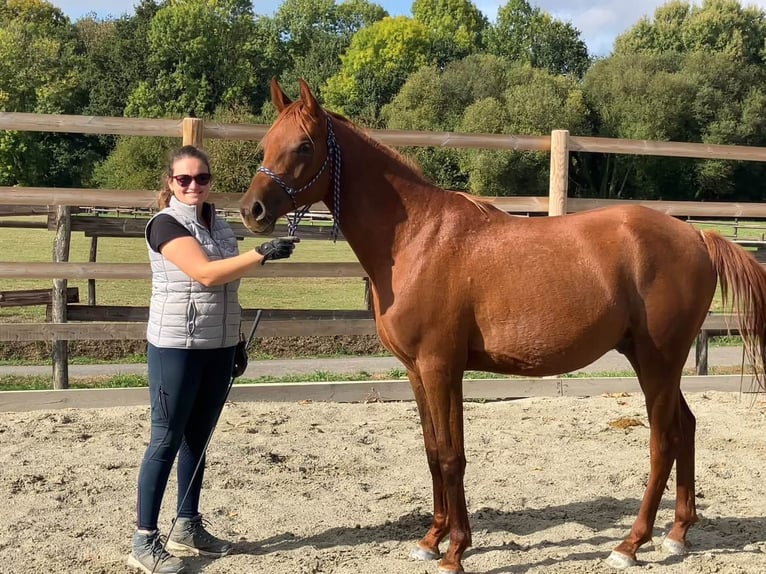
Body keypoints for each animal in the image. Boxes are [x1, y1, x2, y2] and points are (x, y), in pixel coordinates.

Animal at [239, 78, 766, 573]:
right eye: (266, 142)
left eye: (304, 146)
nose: (252, 211)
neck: (416, 239)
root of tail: (698, 235)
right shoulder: (416, 371)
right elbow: (432, 452)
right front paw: (431, 540)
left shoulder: (441, 367)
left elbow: (452, 456)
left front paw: (456, 551)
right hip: (652, 360)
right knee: (686, 427)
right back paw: (677, 533)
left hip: (658, 363)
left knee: (663, 442)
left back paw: (630, 545)